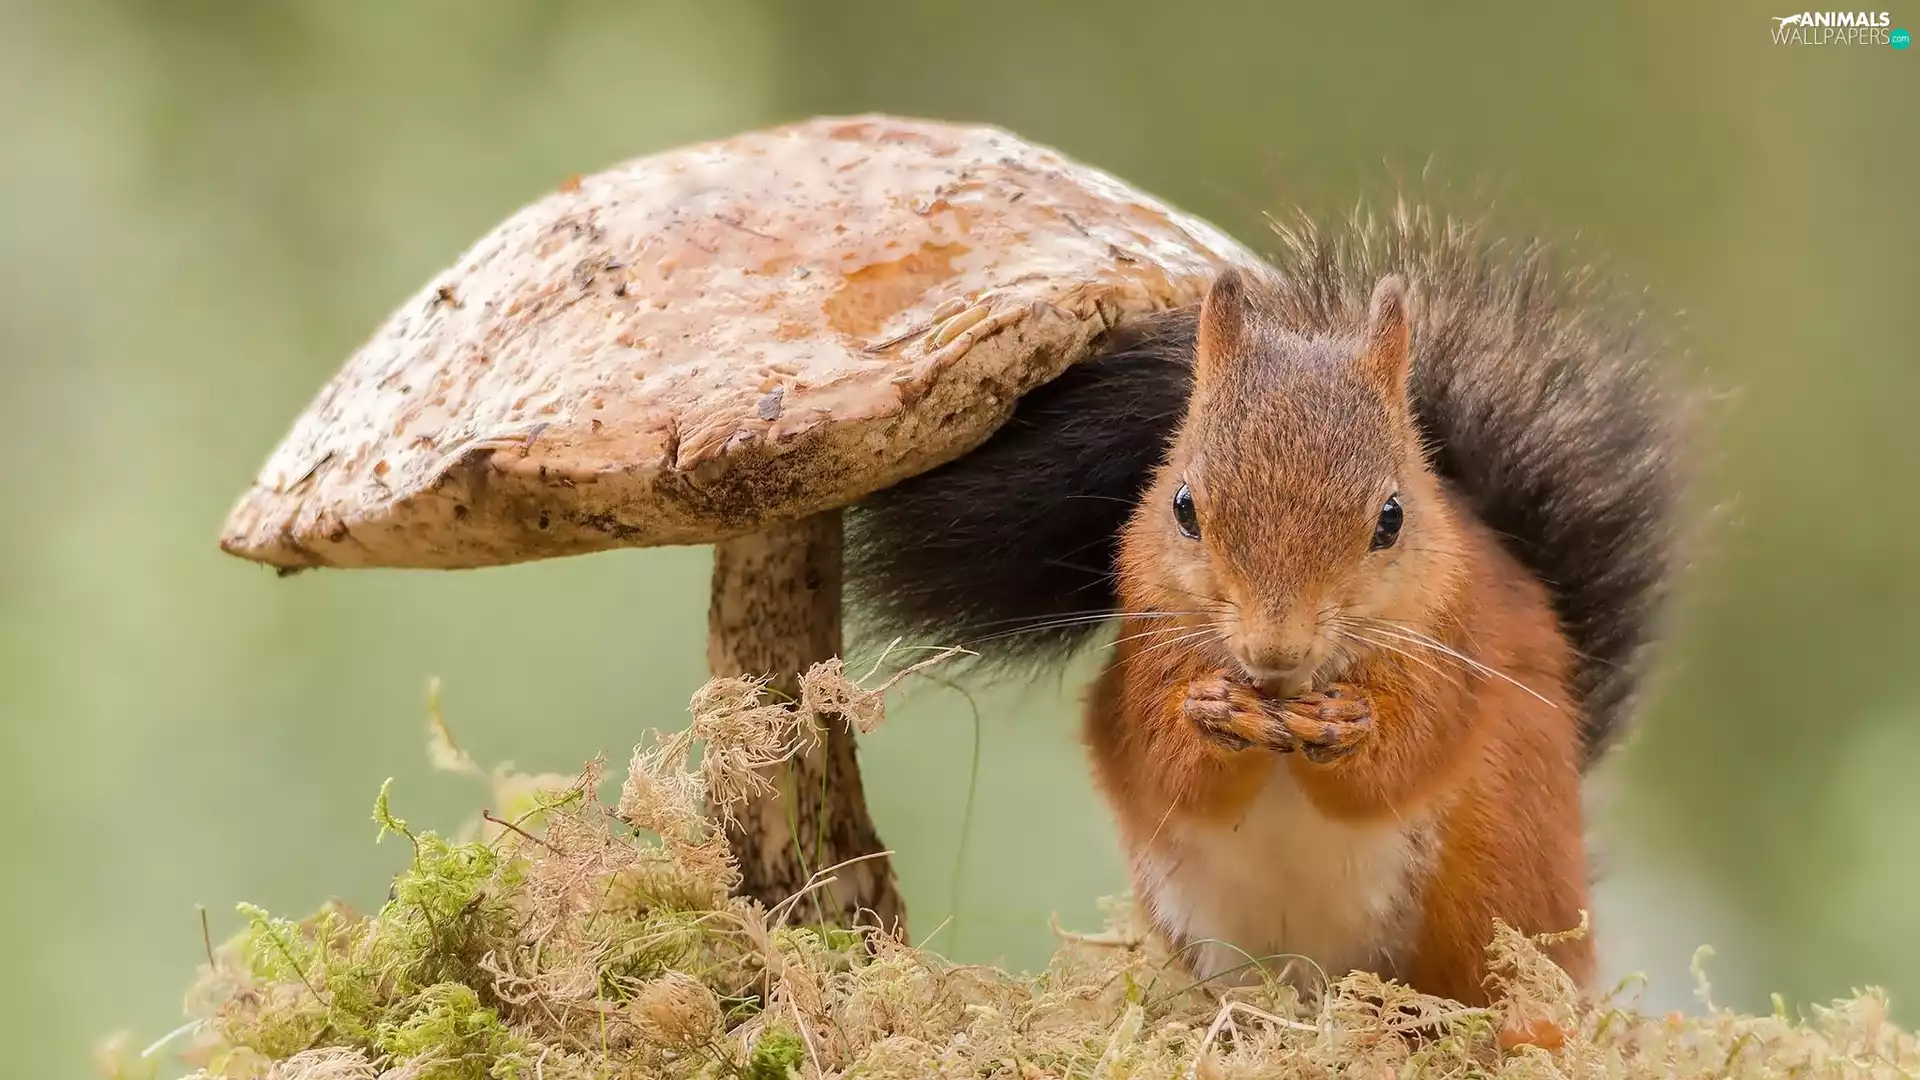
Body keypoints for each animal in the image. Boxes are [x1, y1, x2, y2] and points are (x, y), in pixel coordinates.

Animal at [847, 205, 1686, 1005]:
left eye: (1392, 519)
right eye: (1183, 505)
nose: (1274, 653)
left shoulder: (1457, 652)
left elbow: (1411, 749)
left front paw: (1350, 722)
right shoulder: (1143, 656)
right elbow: (1162, 757)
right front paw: (1210, 710)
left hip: (1495, 890)